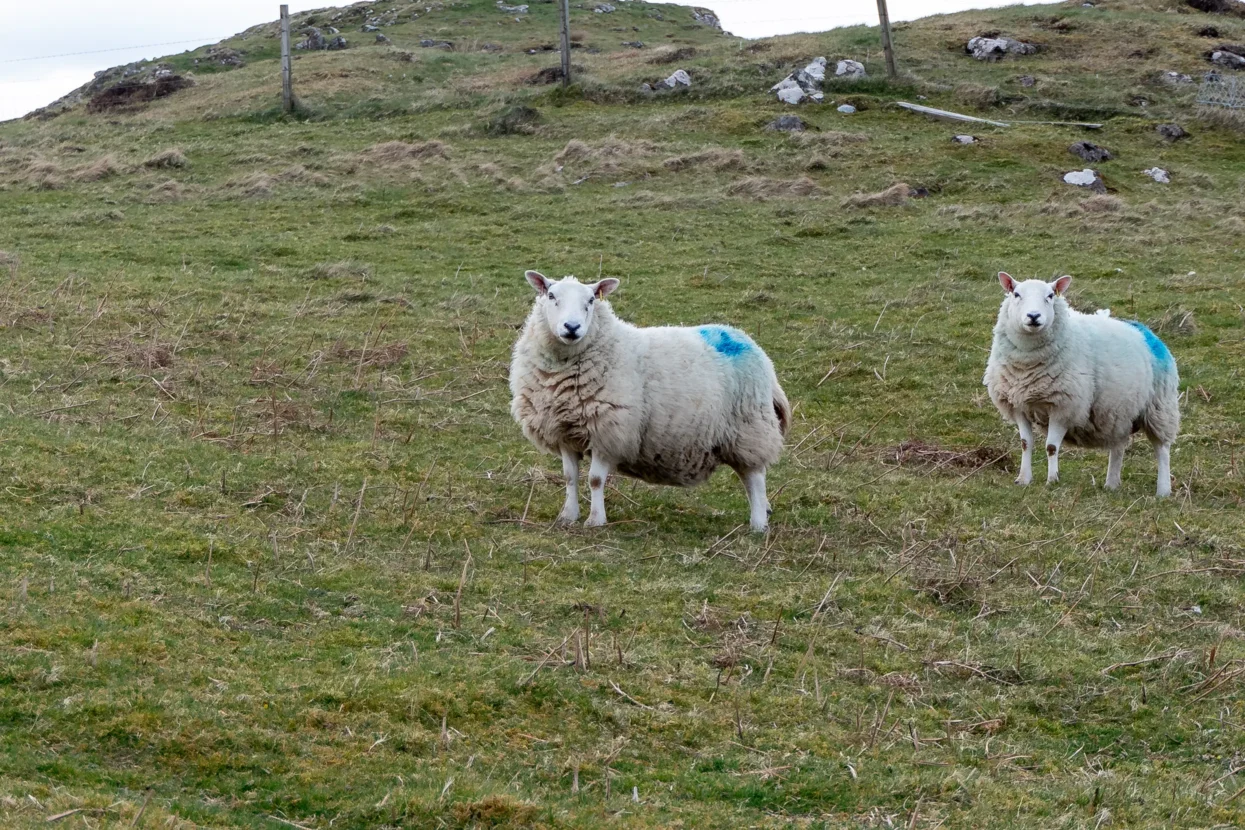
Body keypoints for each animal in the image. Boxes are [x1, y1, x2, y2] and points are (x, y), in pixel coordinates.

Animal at [510, 272, 791, 532]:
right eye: (551, 296)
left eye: (590, 300)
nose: (571, 327)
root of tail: (750, 344)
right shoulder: (565, 431)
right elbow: (570, 477)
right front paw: (567, 516)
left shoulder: (609, 429)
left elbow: (595, 480)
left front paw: (596, 520)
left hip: (749, 428)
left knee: (755, 477)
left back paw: (758, 524)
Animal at [981, 272, 1175, 497]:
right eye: (1016, 294)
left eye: (1050, 296)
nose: (1034, 316)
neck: (1027, 364)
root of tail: (1142, 329)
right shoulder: (1018, 405)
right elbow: (1025, 444)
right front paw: (1023, 479)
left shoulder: (1063, 405)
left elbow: (1051, 447)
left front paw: (1052, 480)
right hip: (1119, 412)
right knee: (1118, 446)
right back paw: (1112, 484)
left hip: (1159, 406)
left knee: (1162, 449)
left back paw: (1163, 490)